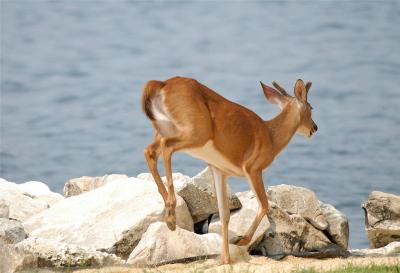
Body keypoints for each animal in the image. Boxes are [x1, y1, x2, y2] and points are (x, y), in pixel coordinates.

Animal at [142, 75, 318, 262]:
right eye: (311, 108)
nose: (314, 128)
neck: (271, 136)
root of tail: (162, 84)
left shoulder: (219, 169)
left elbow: (224, 214)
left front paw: (225, 259)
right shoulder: (253, 168)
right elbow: (264, 204)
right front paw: (242, 241)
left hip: (165, 129)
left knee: (150, 151)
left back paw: (170, 214)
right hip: (195, 132)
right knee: (166, 147)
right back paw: (171, 214)